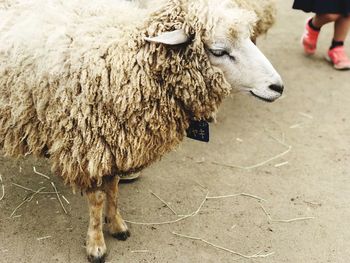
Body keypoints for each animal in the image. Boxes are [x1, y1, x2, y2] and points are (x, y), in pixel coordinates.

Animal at [0, 0, 284, 262]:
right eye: (219, 51)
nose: (278, 87)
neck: (128, 62)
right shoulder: (88, 147)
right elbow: (97, 199)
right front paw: (96, 244)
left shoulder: (115, 143)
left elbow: (113, 189)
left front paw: (117, 225)